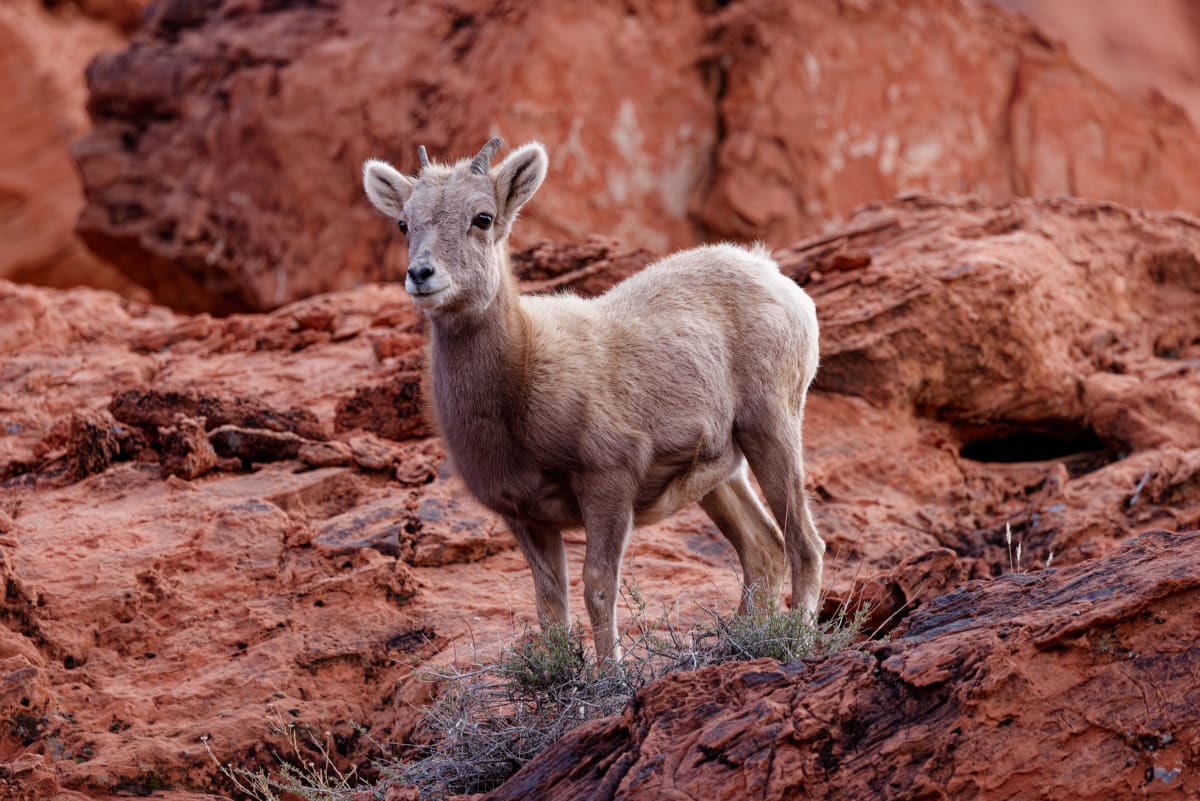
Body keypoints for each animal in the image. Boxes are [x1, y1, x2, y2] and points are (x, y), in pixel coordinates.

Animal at [362, 137, 823, 662]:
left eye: (482, 217)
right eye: (404, 223)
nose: (421, 274)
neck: (520, 376)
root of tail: (771, 273)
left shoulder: (607, 482)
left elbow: (598, 587)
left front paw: (610, 673)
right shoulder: (524, 516)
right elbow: (550, 606)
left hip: (772, 427)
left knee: (804, 544)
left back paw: (797, 641)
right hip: (722, 474)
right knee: (762, 548)